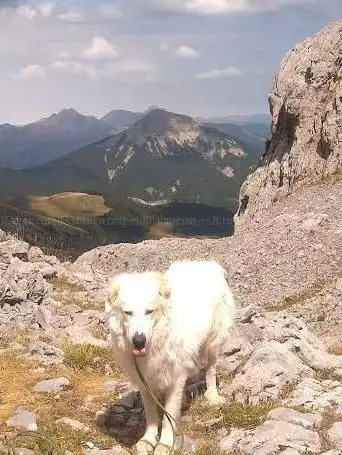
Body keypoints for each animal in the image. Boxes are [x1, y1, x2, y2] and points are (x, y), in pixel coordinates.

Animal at [105, 260, 236, 455]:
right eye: (127, 312)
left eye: (149, 311)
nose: (138, 341)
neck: (157, 340)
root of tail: (204, 263)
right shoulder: (144, 381)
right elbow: (151, 414)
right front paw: (148, 439)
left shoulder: (175, 381)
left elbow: (168, 417)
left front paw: (165, 444)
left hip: (214, 341)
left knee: (211, 368)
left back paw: (212, 395)